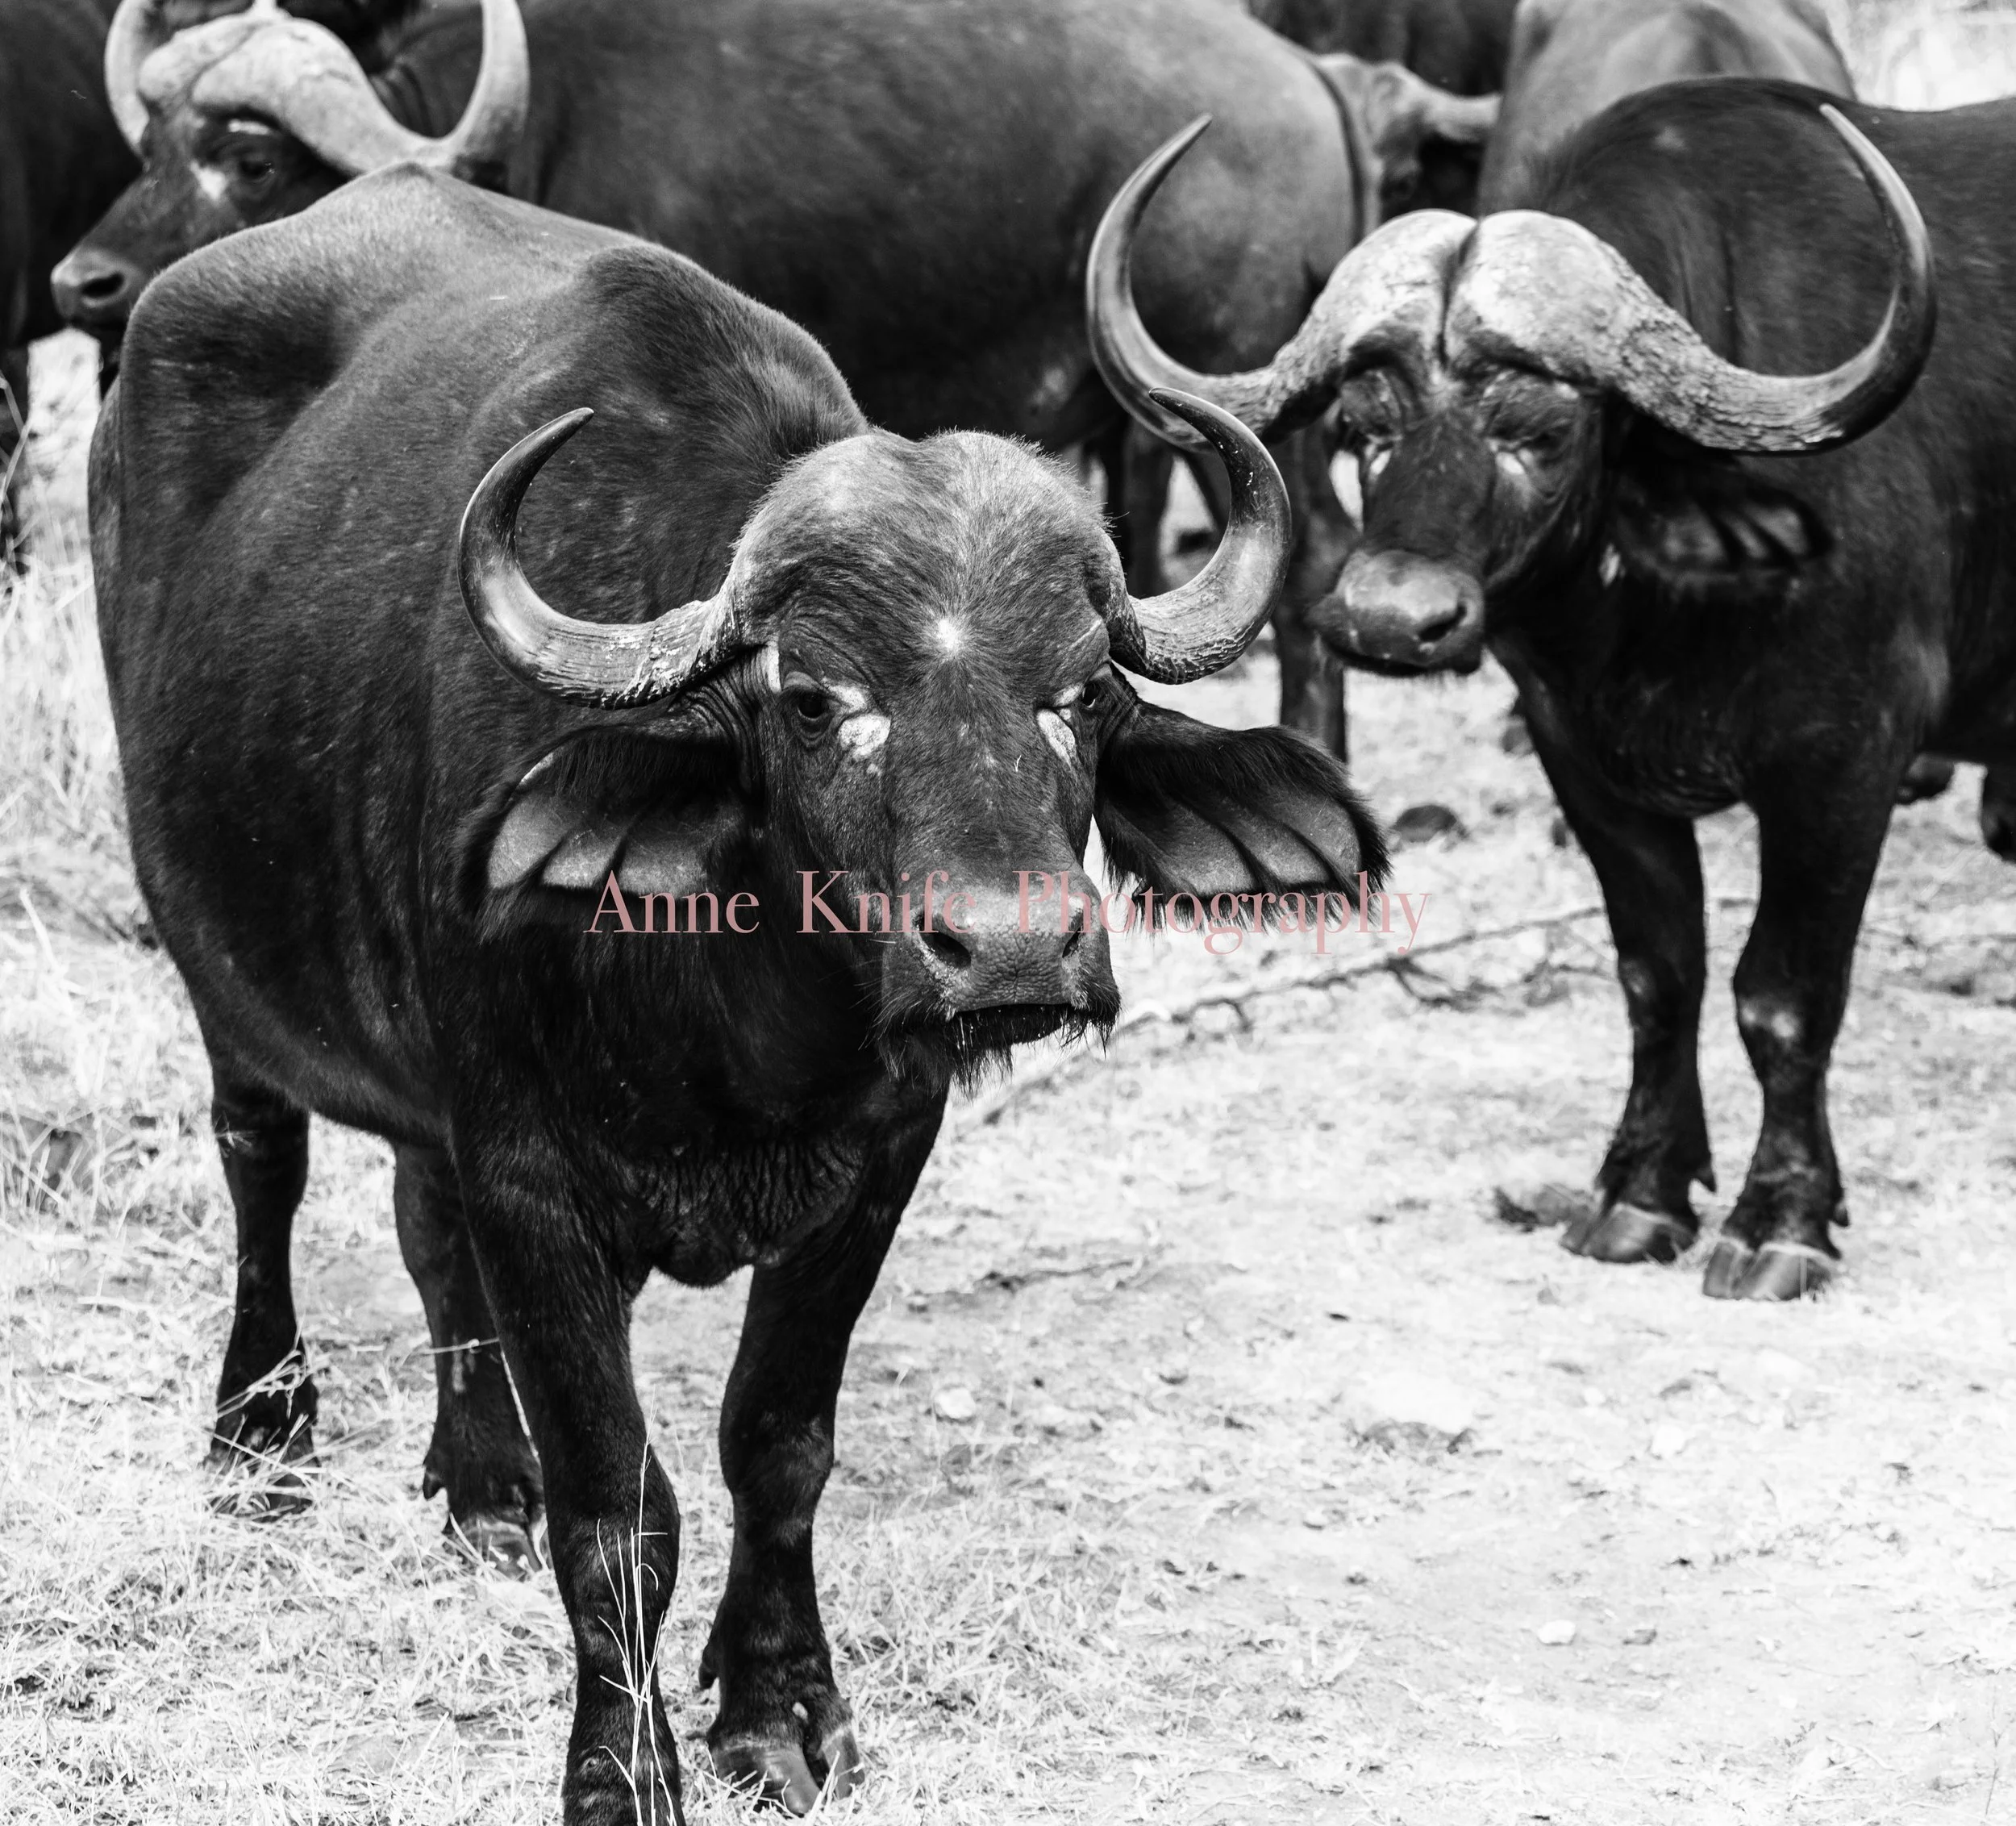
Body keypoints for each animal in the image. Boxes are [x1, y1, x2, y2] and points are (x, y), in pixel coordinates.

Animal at [93, 164, 1382, 1818]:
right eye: (818, 699)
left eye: (1083, 690)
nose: (1010, 948)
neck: (746, 1035)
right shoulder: (533, 1179)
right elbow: (614, 1498)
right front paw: (618, 1764)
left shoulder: (877, 1162)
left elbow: (776, 1444)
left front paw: (777, 1706)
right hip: (214, 959)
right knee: (265, 1164)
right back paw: (261, 1433)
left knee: (422, 1225)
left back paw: (479, 1479)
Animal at [1089, 84, 1965, 1302]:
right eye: (1363, 427)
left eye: (1541, 430)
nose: (1388, 621)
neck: (1657, 620)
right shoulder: (1579, 760)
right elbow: (1658, 975)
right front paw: (1638, 1196)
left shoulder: (1845, 762)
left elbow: (1784, 998)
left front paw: (1780, 1219)